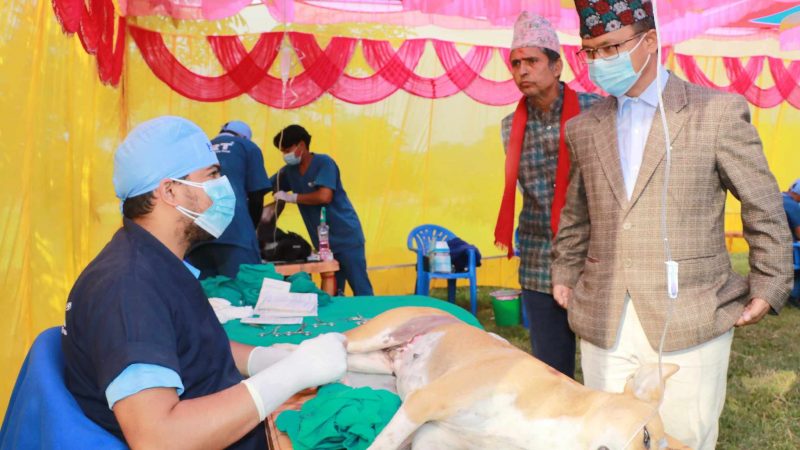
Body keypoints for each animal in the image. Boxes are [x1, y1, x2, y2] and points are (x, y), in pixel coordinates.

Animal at [344, 308, 688, 448]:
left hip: (373, 363)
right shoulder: (424, 402)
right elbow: (382, 444)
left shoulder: (432, 439)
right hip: (372, 336)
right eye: (645, 437)